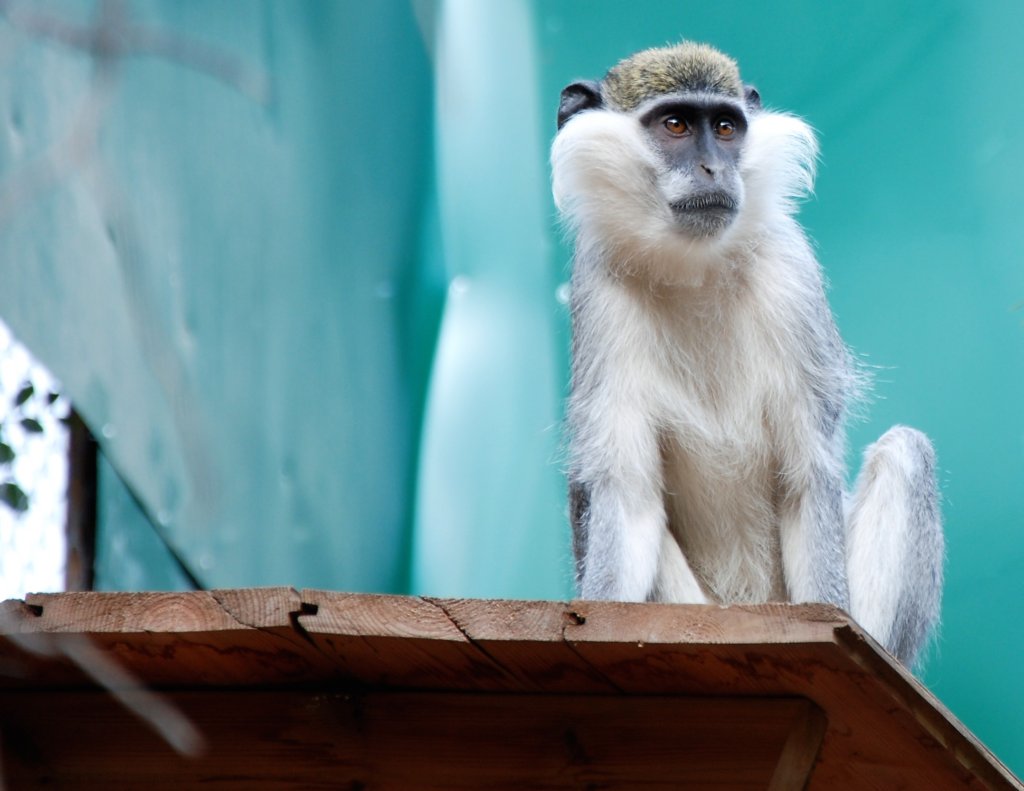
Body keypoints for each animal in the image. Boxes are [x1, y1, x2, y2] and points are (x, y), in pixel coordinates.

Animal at [551, 41, 943, 667]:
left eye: (726, 127)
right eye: (676, 125)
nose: (715, 169)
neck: (694, 271)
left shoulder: (794, 279)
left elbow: (807, 481)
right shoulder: (598, 294)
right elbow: (627, 500)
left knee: (908, 450)